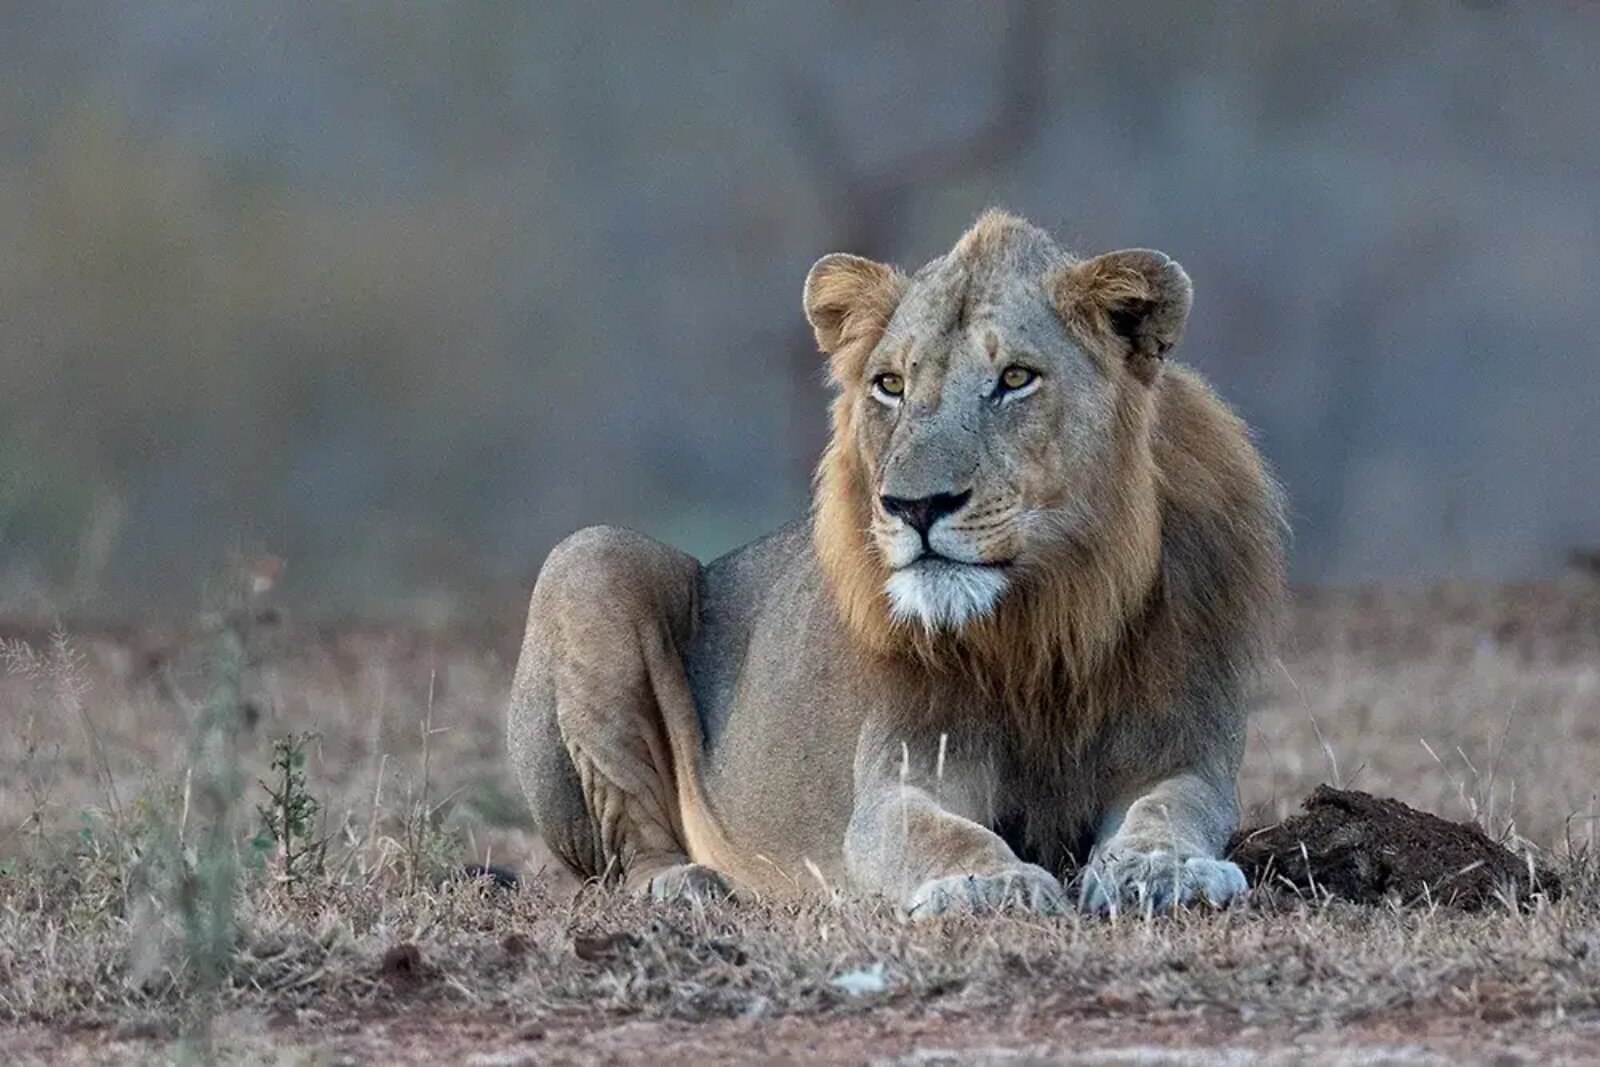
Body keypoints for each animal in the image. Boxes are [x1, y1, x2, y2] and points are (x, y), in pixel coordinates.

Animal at [506, 210, 1285, 915]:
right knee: (622, 848)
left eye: (1015, 378)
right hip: (590, 557)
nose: (915, 506)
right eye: (890, 385)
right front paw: (989, 882)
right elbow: (935, 833)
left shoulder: (1182, 750)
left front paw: (1163, 870)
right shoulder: (895, 779)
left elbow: (1171, 810)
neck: (1042, 625)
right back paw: (684, 885)